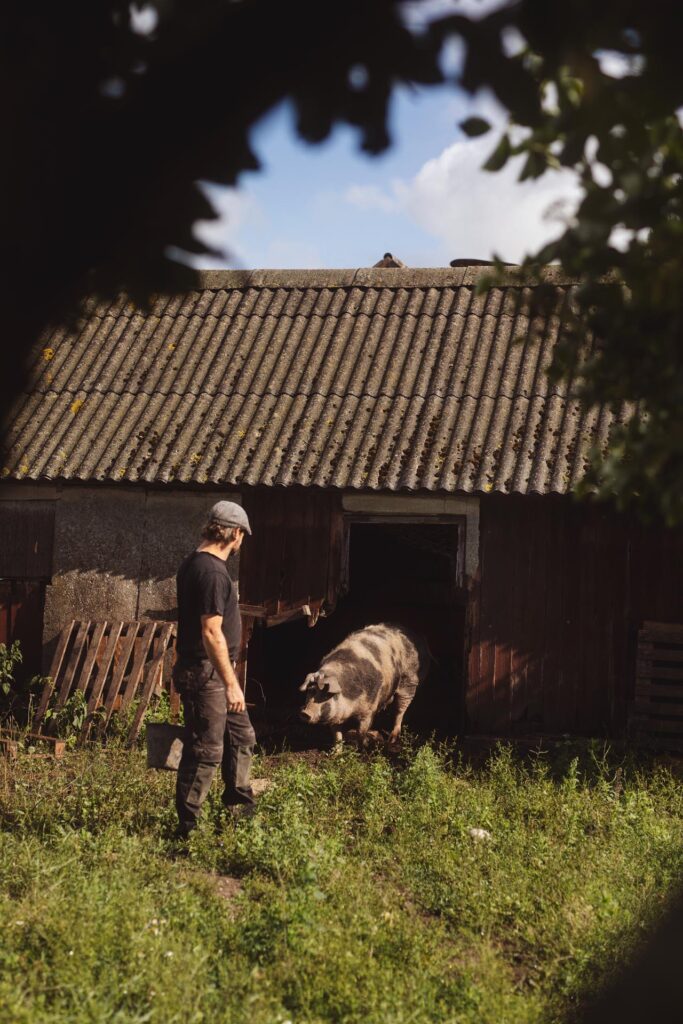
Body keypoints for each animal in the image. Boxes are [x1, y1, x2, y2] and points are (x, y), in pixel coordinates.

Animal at [296, 618, 428, 749]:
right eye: (311, 691)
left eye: (326, 695)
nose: (305, 713)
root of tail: (418, 638)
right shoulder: (336, 714)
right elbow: (336, 734)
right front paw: (336, 752)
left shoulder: (369, 709)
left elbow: (361, 731)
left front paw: (363, 747)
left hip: (410, 681)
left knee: (400, 710)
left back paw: (392, 739)